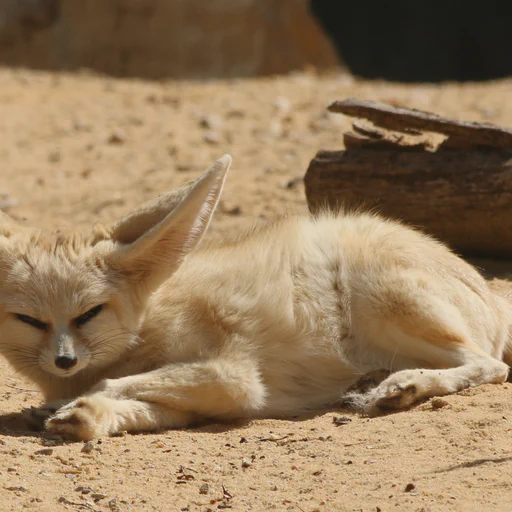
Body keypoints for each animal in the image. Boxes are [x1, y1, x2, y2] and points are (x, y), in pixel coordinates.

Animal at [0, 154, 510, 438]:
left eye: (89, 314)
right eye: (31, 321)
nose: (65, 361)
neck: (150, 318)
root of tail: (487, 287)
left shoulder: (236, 379)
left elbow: (109, 382)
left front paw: (74, 403)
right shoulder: (196, 402)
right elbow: (134, 403)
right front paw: (81, 414)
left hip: (384, 296)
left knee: (490, 365)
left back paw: (403, 387)